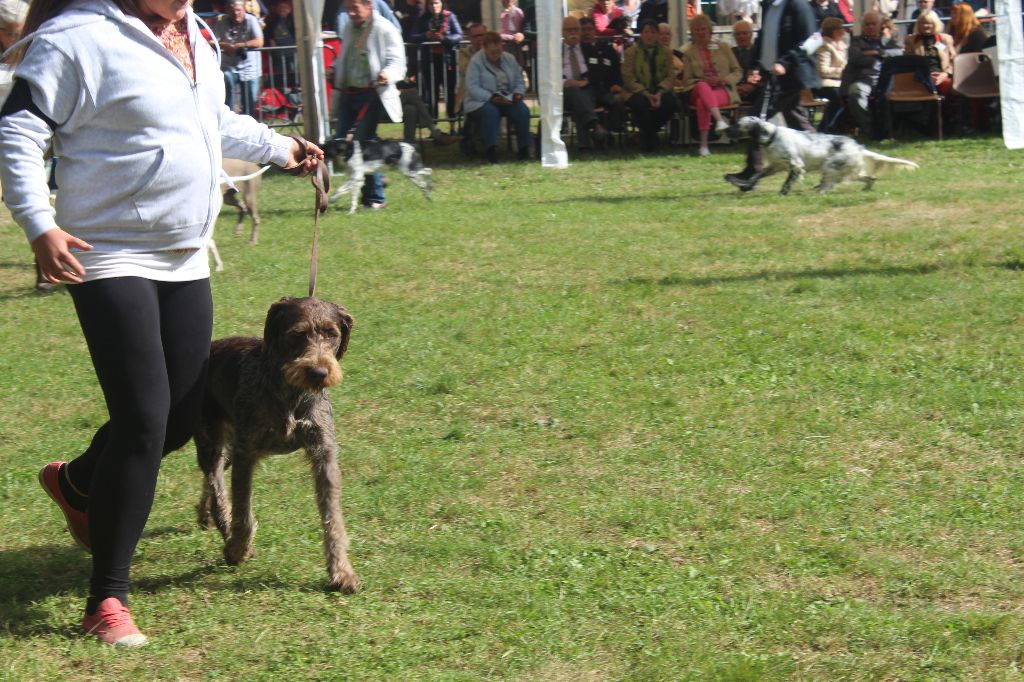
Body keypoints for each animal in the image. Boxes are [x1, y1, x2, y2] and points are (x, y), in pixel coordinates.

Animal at [193, 296, 358, 589]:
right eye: (297, 335)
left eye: (331, 334)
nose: (319, 372)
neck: (291, 392)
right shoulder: (246, 453)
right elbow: (243, 514)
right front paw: (237, 549)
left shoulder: (324, 454)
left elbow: (333, 519)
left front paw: (341, 571)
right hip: (212, 441)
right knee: (216, 485)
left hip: (228, 447)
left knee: (212, 480)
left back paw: (204, 514)